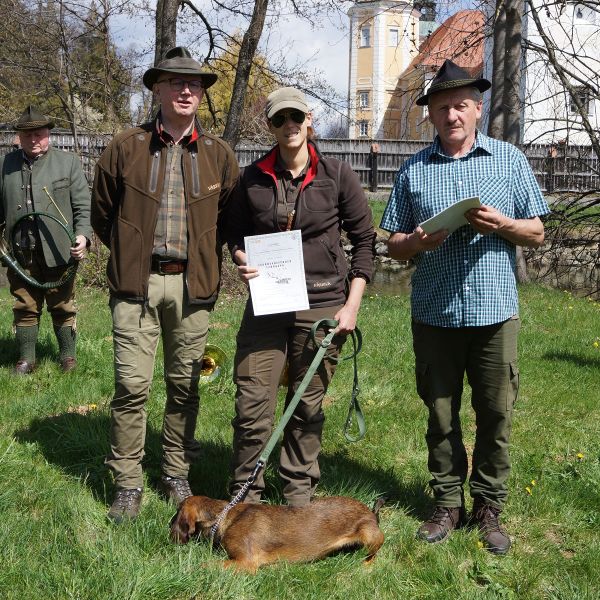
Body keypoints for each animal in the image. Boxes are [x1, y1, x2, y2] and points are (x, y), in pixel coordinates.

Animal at [170, 495, 385, 572]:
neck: (224, 516)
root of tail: (371, 512)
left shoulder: (245, 562)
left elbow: (207, 564)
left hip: (371, 535)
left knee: (375, 553)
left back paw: (365, 564)